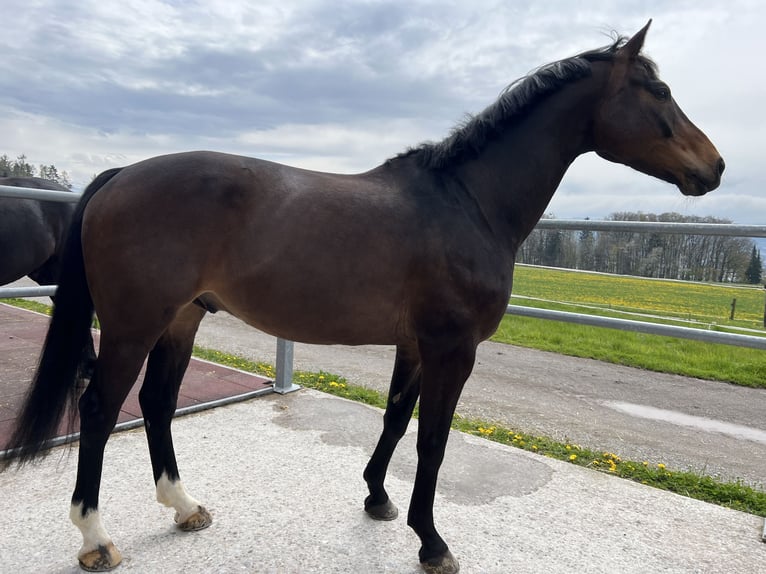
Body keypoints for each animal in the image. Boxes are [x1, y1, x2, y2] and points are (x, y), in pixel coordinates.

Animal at [1, 22, 728, 574]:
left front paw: (378, 499)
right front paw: (432, 542)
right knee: (100, 409)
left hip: (181, 320)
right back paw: (96, 539)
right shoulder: (452, 349)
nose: (716, 167)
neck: (467, 204)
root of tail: (123, 174)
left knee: (156, 402)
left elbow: (396, 420)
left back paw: (184, 508)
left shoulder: (415, 344)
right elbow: (433, 440)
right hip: (133, 326)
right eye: (659, 90)